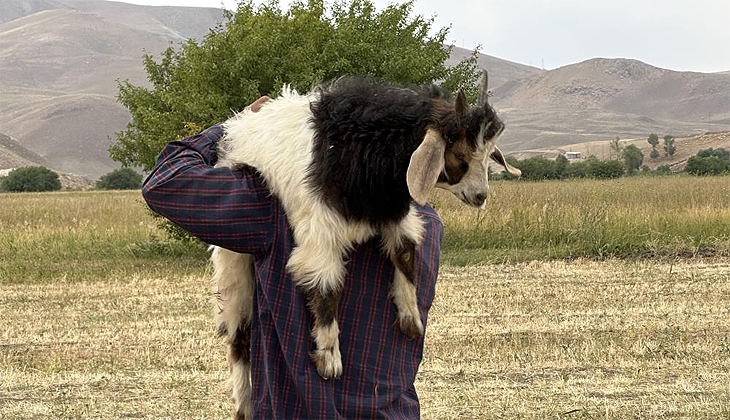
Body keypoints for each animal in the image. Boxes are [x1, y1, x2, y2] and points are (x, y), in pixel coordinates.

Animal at [209, 71, 516, 416]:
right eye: (460, 155)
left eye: (490, 155)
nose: (480, 196)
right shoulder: (321, 230)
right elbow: (327, 288)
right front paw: (329, 358)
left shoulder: (395, 212)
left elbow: (405, 254)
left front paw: (411, 318)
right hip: (233, 261)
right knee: (239, 335)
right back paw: (244, 403)